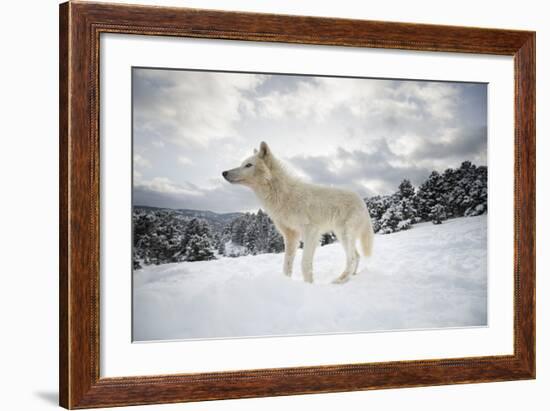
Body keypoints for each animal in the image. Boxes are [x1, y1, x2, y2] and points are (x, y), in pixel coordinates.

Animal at [224, 143, 376, 284]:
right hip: (341, 235)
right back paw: (352, 277)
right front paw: (286, 282)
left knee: (352, 258)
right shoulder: (291, 235)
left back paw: (339, 281)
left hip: (344, 234)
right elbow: (287, 265)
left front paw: (309, 284)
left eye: (248, 165)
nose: (224, 172)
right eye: (242, 164)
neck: (283, 195)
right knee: (357, 256)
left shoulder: (311, 232)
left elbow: (305, 263)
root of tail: (361, 200)